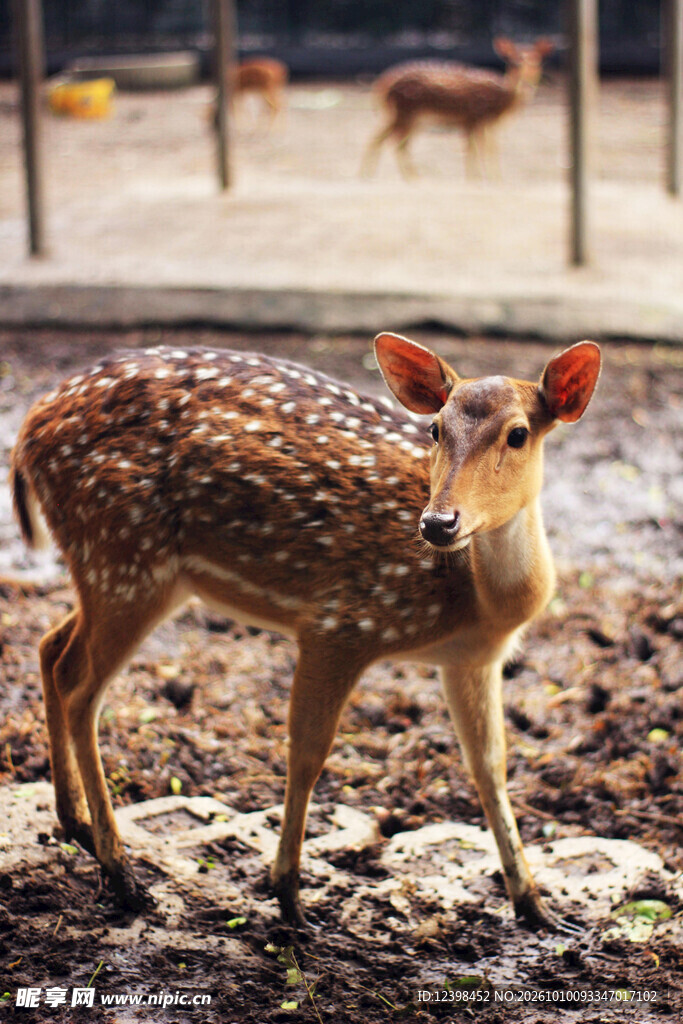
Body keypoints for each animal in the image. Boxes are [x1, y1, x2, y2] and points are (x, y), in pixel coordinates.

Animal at [10, 334, 600, 932]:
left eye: (518, 434)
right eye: (435, 428)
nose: (438, 523)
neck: (479, 601)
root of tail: (28, 429)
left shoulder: (472, 660)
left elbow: (490, 768)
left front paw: (538, 907)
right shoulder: (340, 623)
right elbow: (308, 751)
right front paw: (289, 896)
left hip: (127, 573)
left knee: (51, 648)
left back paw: (76, 824)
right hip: (123, 555)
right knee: (80, 686)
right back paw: (122, 874)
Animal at [362, 37, 555, 179]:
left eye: (536, 62)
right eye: (512, 62)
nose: (525, 82)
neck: (501, 102)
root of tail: (383, 84)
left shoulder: (484, 125)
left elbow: (489, 151)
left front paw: (494, 181)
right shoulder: (475, 118)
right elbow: (476, 152)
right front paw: (478, 181)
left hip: (408, 117)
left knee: (385, 139)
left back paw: (373, 177)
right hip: (406, 113)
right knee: (392, 141)